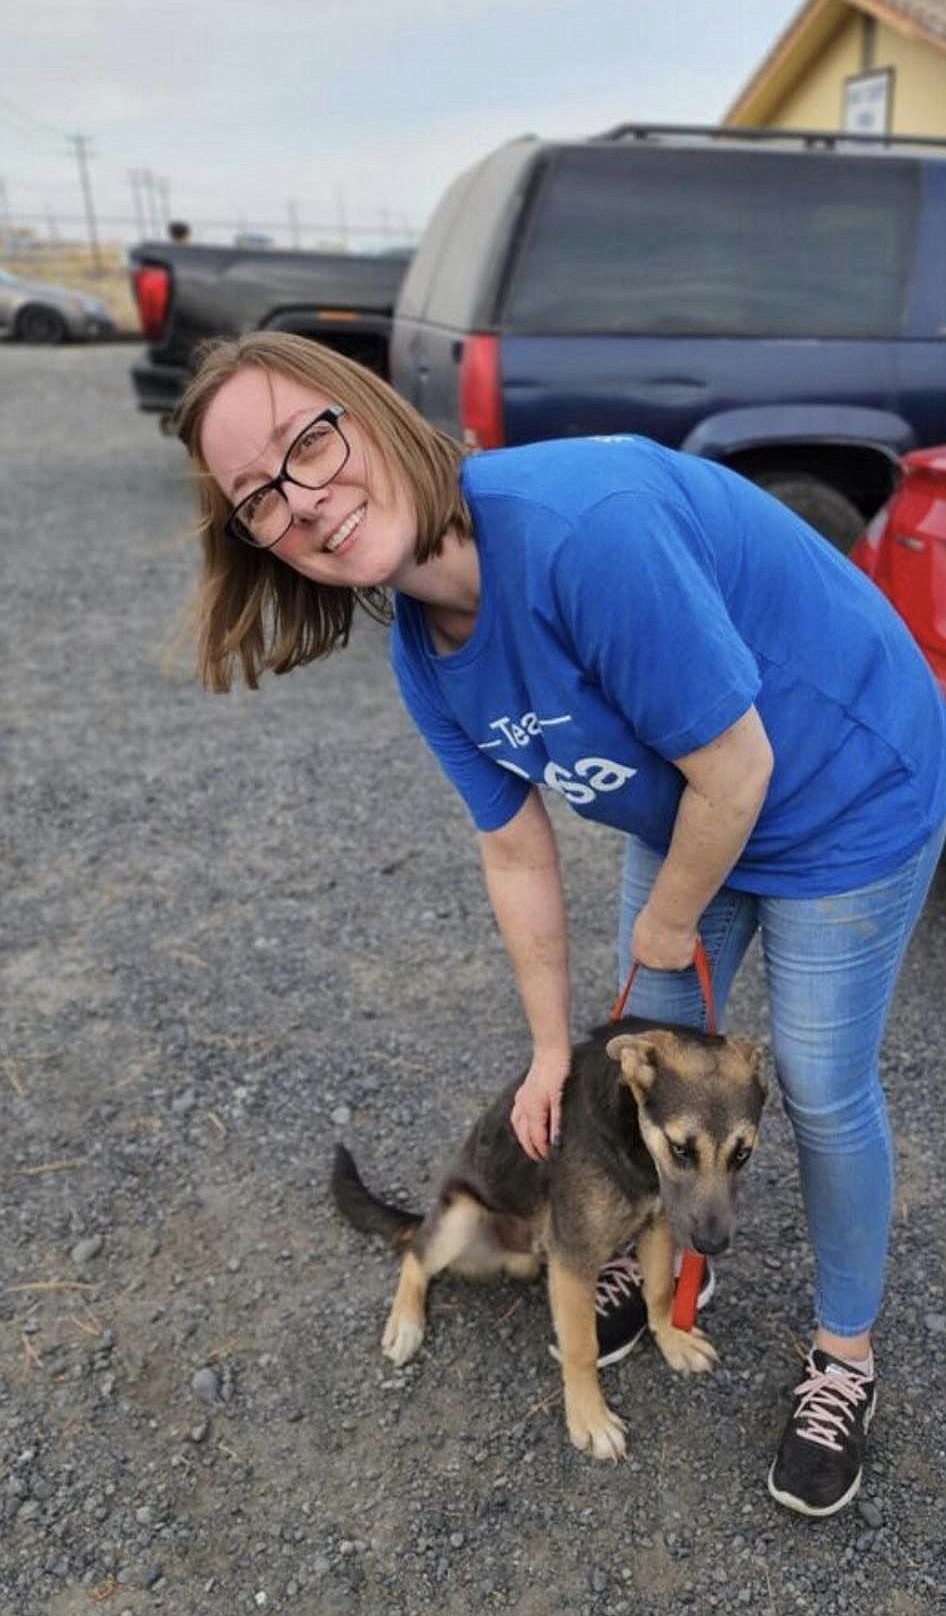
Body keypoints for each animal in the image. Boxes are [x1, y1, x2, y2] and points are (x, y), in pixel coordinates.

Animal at [328, 1021, 763, 1467]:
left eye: (742, 1154)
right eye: (681, 1149)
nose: (711, 1244)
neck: (632, 1141)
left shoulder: (656, 1222)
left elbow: (659, 1291)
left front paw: (673, 1338)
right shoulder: (574, 1254)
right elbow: (581, 1346)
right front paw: (590, 1418)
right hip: (462, 1217)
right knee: (415, 1254)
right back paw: (405, 1324)